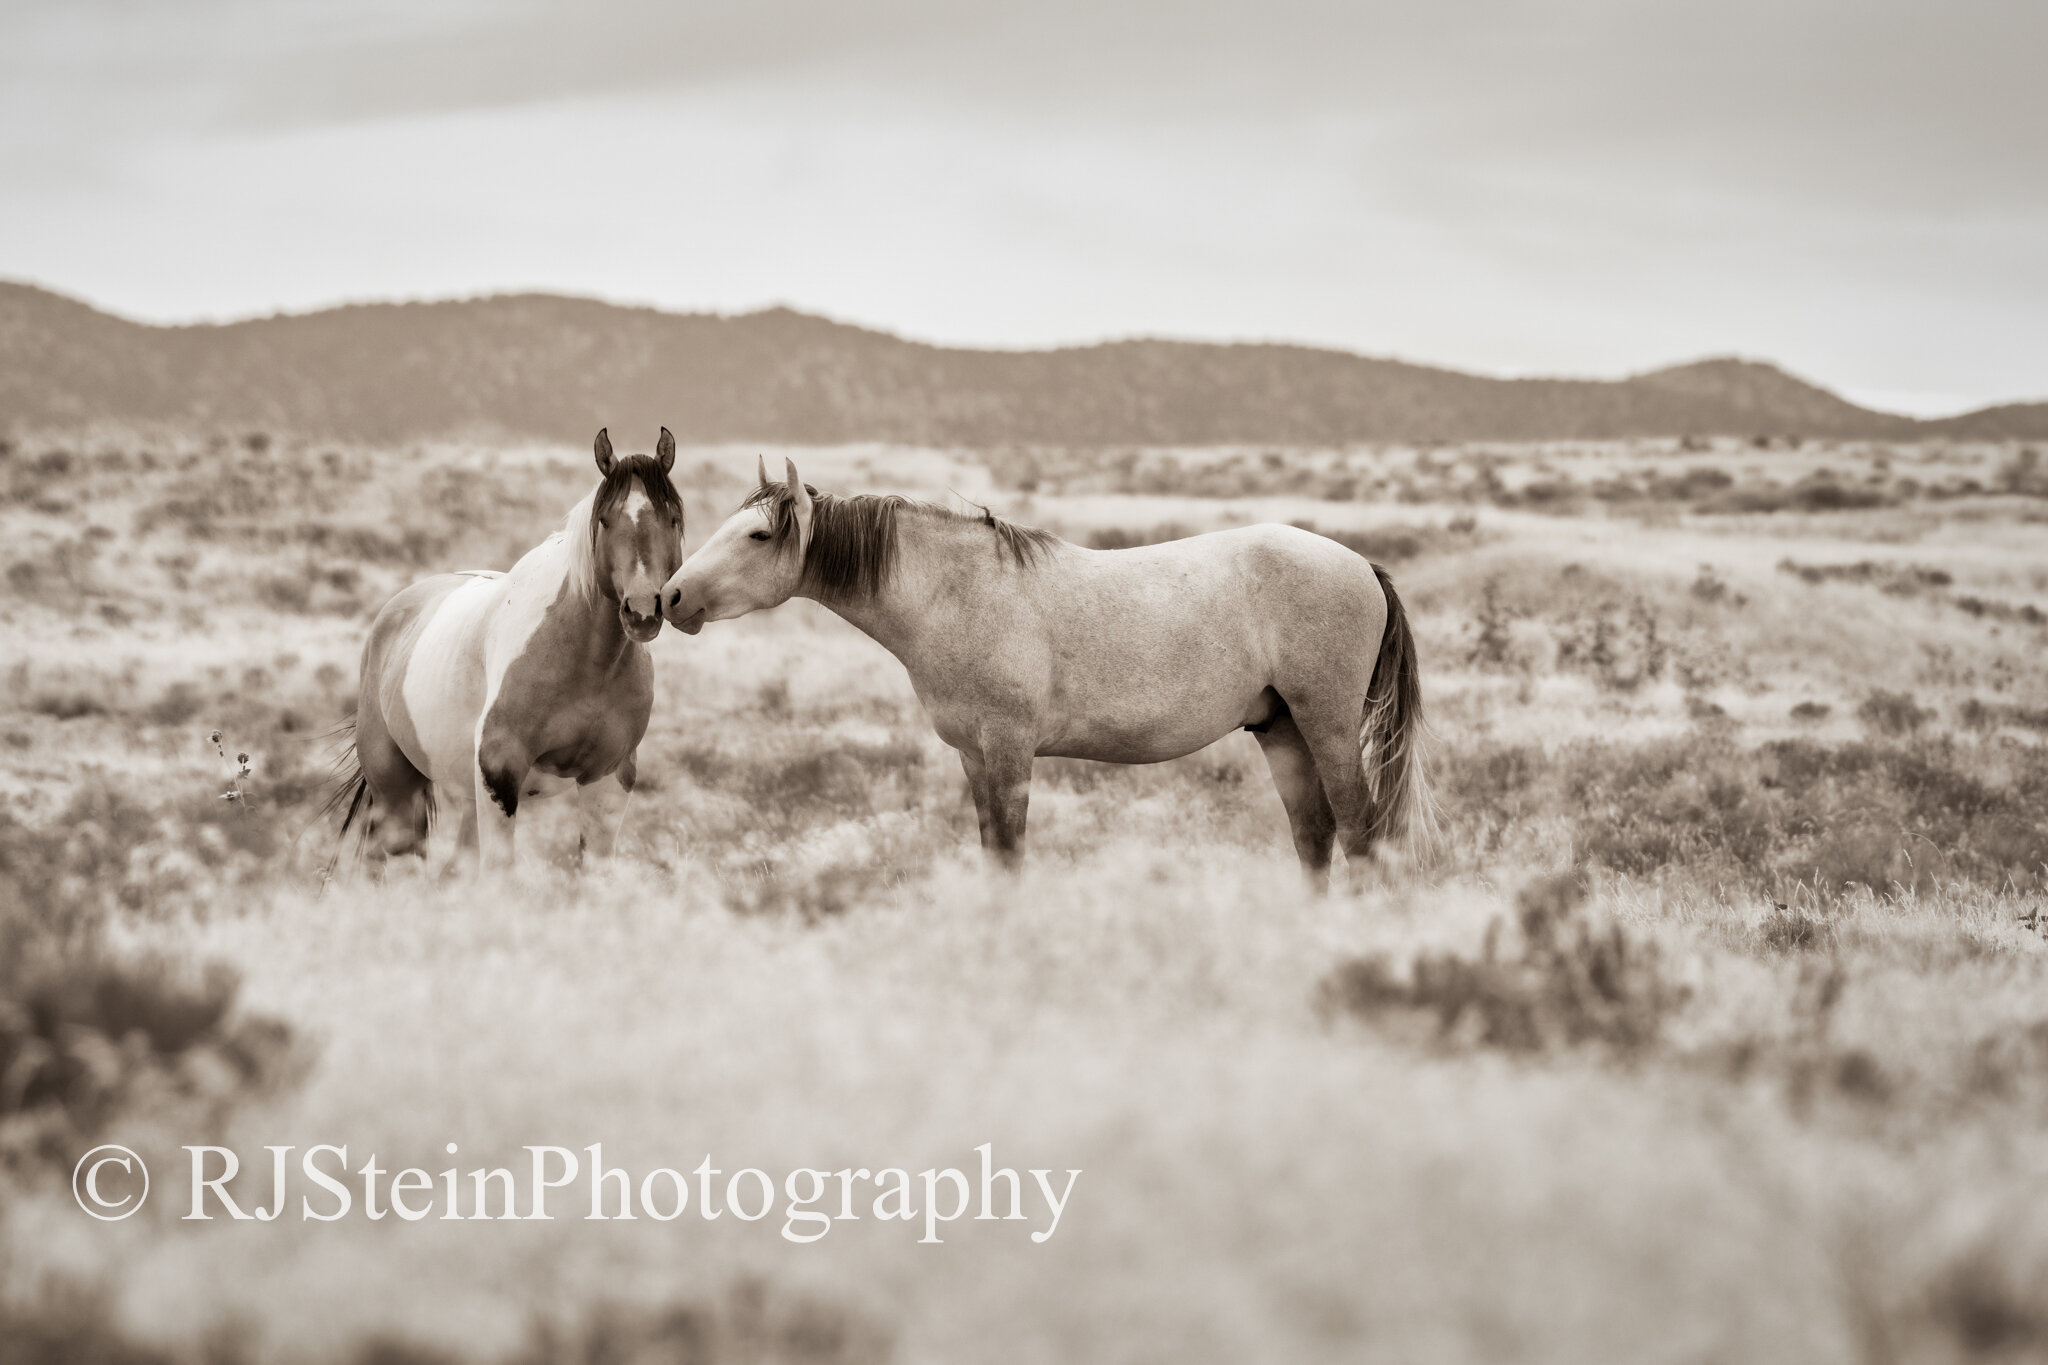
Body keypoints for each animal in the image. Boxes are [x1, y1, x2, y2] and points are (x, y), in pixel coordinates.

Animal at [333, 429, 688, 875]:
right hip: (396, 791)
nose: (642, 609)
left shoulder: (608, 779)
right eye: (605, 520)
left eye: (672, 518)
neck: (586, 665)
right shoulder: (500, 773)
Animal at [663, 458, 1433, 888]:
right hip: (1281, 729)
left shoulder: (1009, 751)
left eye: (759, 534)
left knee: (1361, 833)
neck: (962, 591)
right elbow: (991, 854)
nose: (669, 597)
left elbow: (1011, 851)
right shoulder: (974, 755)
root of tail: (1361, 564)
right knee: (1317, 837)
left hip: (1326, 725)